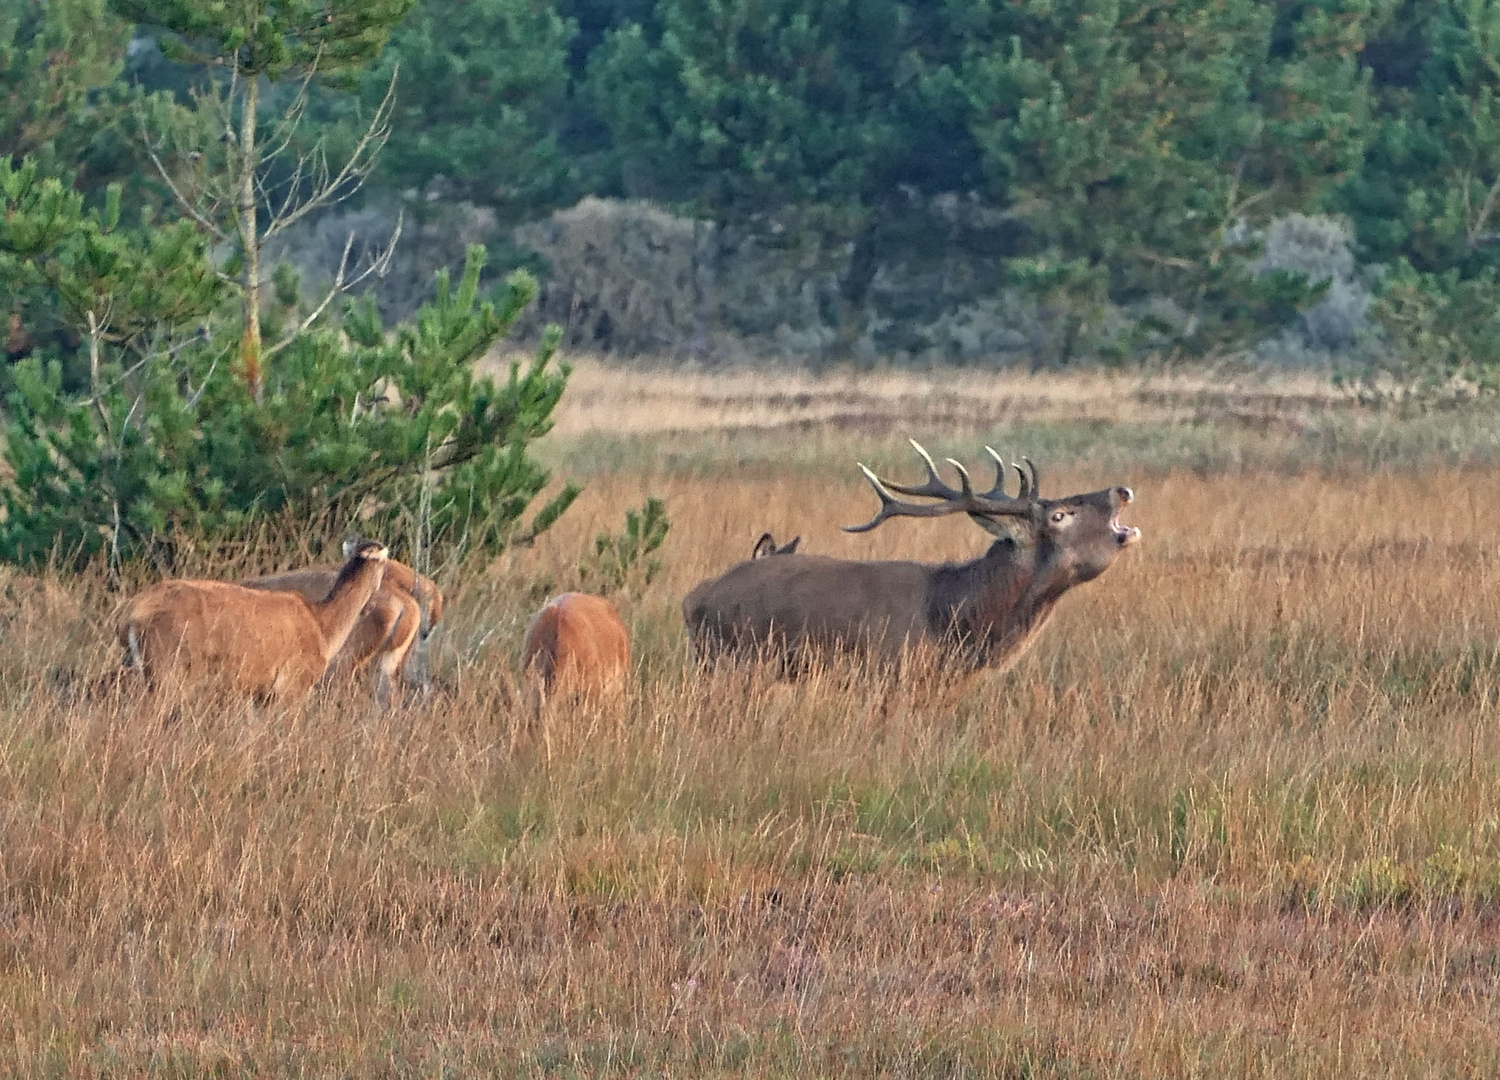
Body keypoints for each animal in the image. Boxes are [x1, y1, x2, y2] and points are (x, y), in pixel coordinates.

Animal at [120, 537, 390, 705]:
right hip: (168, 666)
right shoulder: (294, 683)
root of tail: (130, 615)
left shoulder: (261, 694)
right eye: (386, 562)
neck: (324, 627)